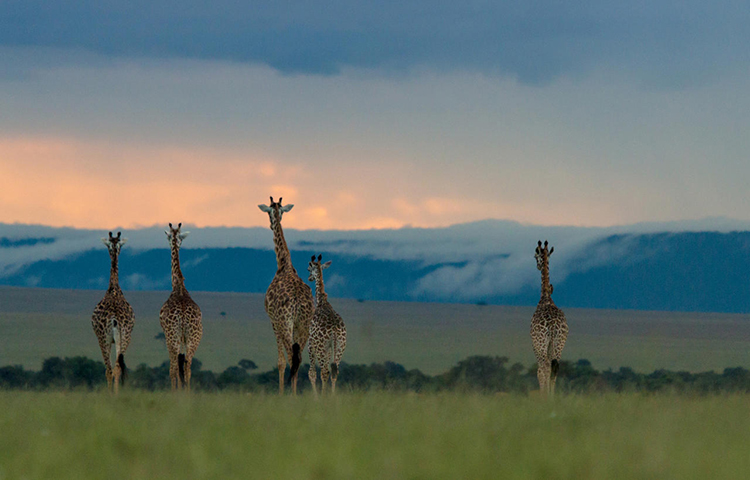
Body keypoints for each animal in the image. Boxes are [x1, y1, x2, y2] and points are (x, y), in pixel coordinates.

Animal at [92, 232, 137, 394]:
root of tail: (114, 319)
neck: (113, 288)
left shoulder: (102, 338)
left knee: (109, 368)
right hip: (124, 338)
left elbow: (108, 369)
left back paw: (111, 394)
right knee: (117, 367)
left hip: (104, 338)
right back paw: (117, 394)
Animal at [159, 223, 203, 392]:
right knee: (188, 366)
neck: (178, 285)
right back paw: (188, 393)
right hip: (194, 338)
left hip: (173, 338)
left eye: (167, 236)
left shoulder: (167, 336)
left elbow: (173, 369)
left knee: (174, 368)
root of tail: (183, 316)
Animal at [260, 197, 316, 396]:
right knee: (299, 358)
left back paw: (291, 396)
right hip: (303, 325)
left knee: (292, 358)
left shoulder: (273, 321)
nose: (271, 224)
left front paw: (281, 393)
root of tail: (298, 302)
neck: (284, 264)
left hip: (286, 323)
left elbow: (281, 362)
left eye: (269, 213)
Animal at [306, 253, 348, 396]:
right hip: (340, 346)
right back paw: (332, 396)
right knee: (334, 371)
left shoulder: (311, 344)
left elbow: (312, 373)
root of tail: (334, 329)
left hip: (320, 347)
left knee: (324, 371)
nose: (309, 277)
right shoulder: (329, 348)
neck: (321, 302)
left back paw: (323, 396)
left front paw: (316, 397)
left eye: (309, 268)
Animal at [532, 240, 572, 398]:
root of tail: (553, 324)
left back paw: (545, 396)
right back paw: (552, 396)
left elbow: (539, 370)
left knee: (545, 366)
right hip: (559, 342)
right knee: (555, 366)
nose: (537, 266)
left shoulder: (535, 345)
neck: (546, 297)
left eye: (535, 256)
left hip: (542, 342)